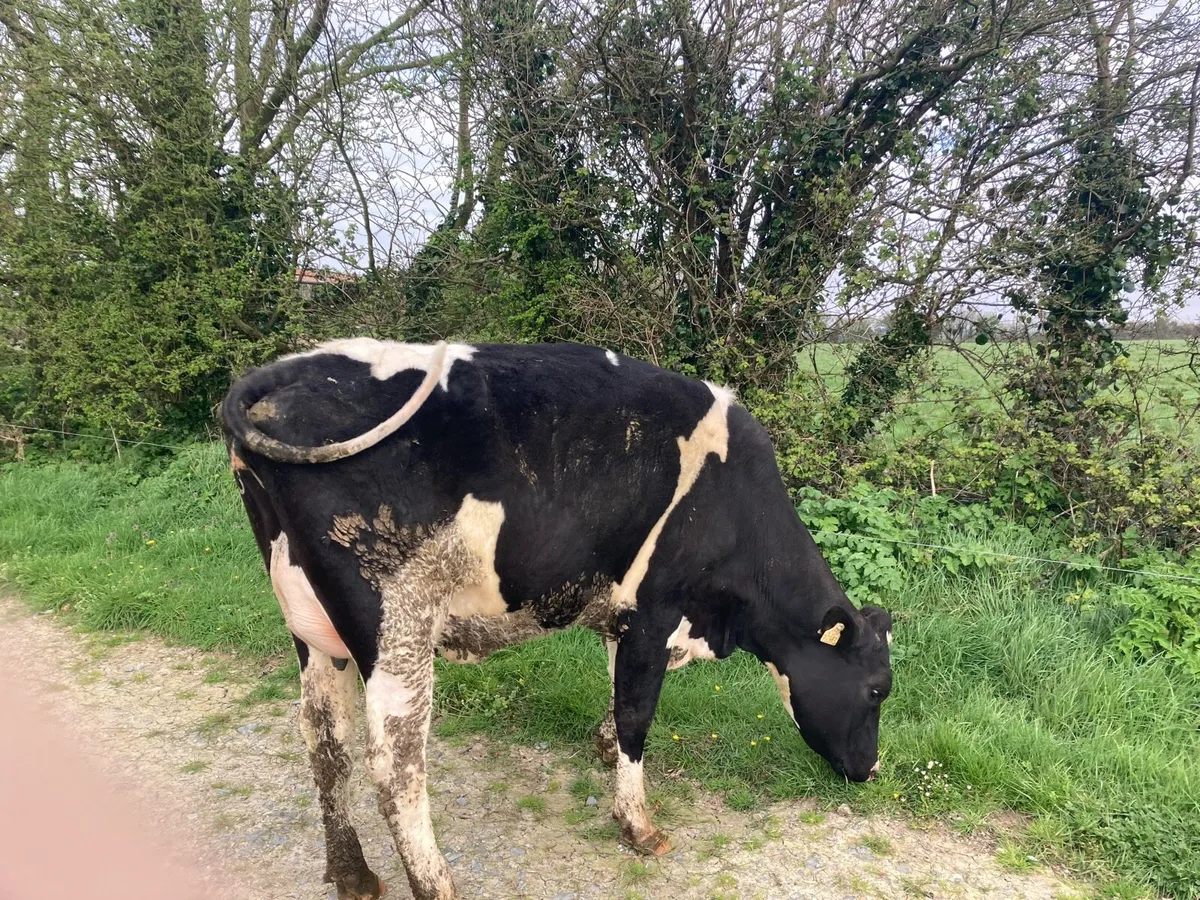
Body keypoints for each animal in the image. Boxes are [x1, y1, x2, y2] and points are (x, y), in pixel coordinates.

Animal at [219, 338, 893, 900]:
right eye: (875, 690)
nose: (871, 770)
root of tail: (286, 370)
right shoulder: (653, 613)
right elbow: (638, 715)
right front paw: (638, 824)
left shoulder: (623, 619)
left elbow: (619, 696)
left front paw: (603, 744)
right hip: (397, 625)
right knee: (396, 768)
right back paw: (438, 886)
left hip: (313, 628)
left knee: (323, 741)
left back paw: (353, 875)